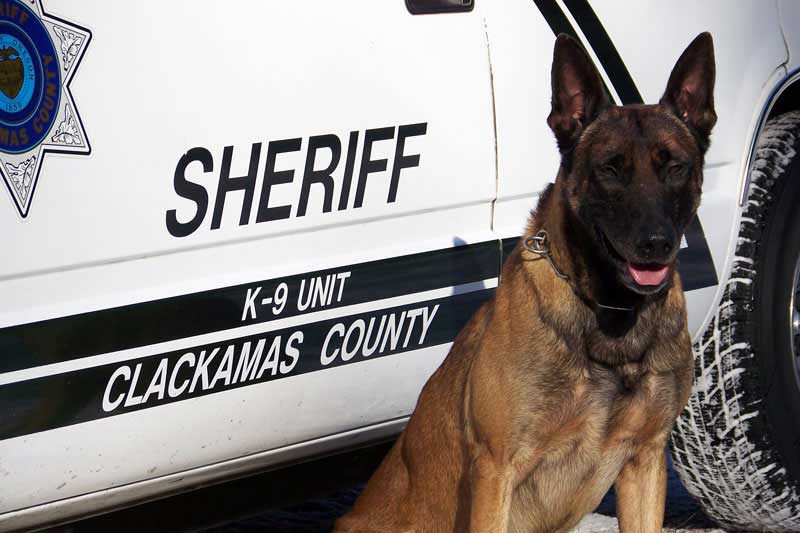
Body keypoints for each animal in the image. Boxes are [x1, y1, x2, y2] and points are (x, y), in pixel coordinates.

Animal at [338, 32, 720, 532]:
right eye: (610, 169)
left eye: (674, 167)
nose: (655, 243)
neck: (611, 313)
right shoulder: (497, 470)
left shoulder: (645, 462)